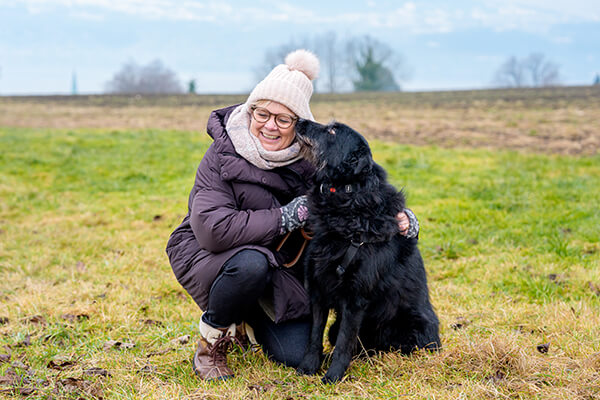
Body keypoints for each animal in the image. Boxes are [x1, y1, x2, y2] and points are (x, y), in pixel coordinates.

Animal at [294, 119, 440, 384]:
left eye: (332, 131)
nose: (299, 120)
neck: (348, 196)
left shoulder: (355, 299)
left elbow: (344, 342)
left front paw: (333, 377)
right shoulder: (318, 290)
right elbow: (314, 335)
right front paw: (308, 367)